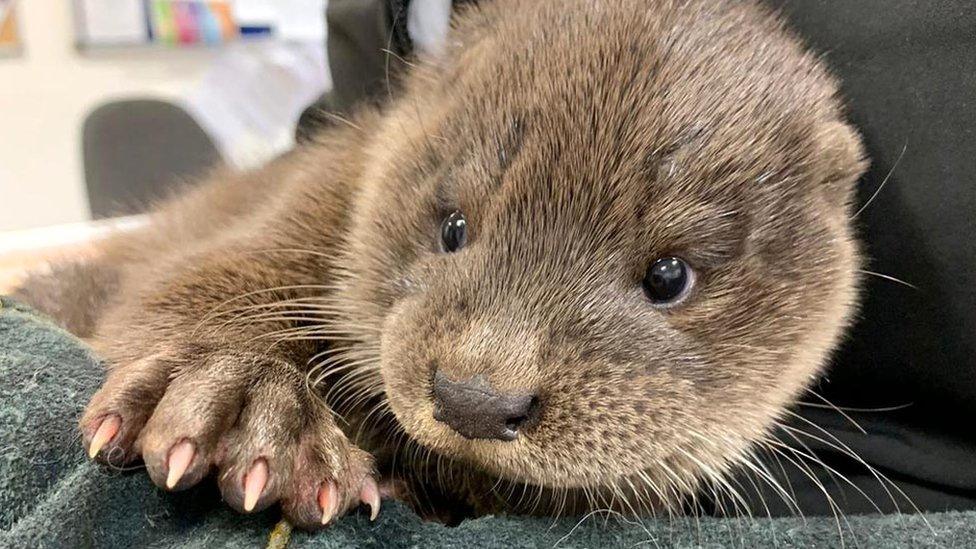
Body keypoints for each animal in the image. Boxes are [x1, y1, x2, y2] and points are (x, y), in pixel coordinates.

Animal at [17, 0, 868, 528]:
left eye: (669, 276)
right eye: (453, 225)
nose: (476, 399)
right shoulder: (315, 192)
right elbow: (195, 282)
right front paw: (244, 401)